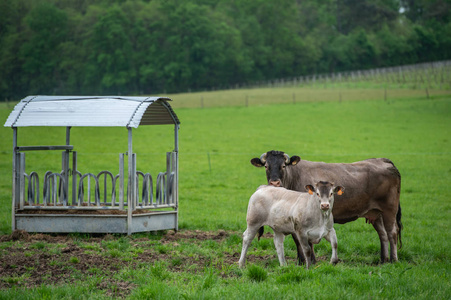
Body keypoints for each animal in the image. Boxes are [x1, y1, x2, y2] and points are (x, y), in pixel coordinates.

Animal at [252, 150, 404, 262]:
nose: (274, 183)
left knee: (392, 232)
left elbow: (307, 242)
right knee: (383, 234)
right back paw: (383, 259)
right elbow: (297, 240)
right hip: (375, 213)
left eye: (283, 166)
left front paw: (311, 260)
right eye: (266, 166)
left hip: (389, 210)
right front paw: (300, 261)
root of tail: (382, 160)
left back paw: (393, 260)